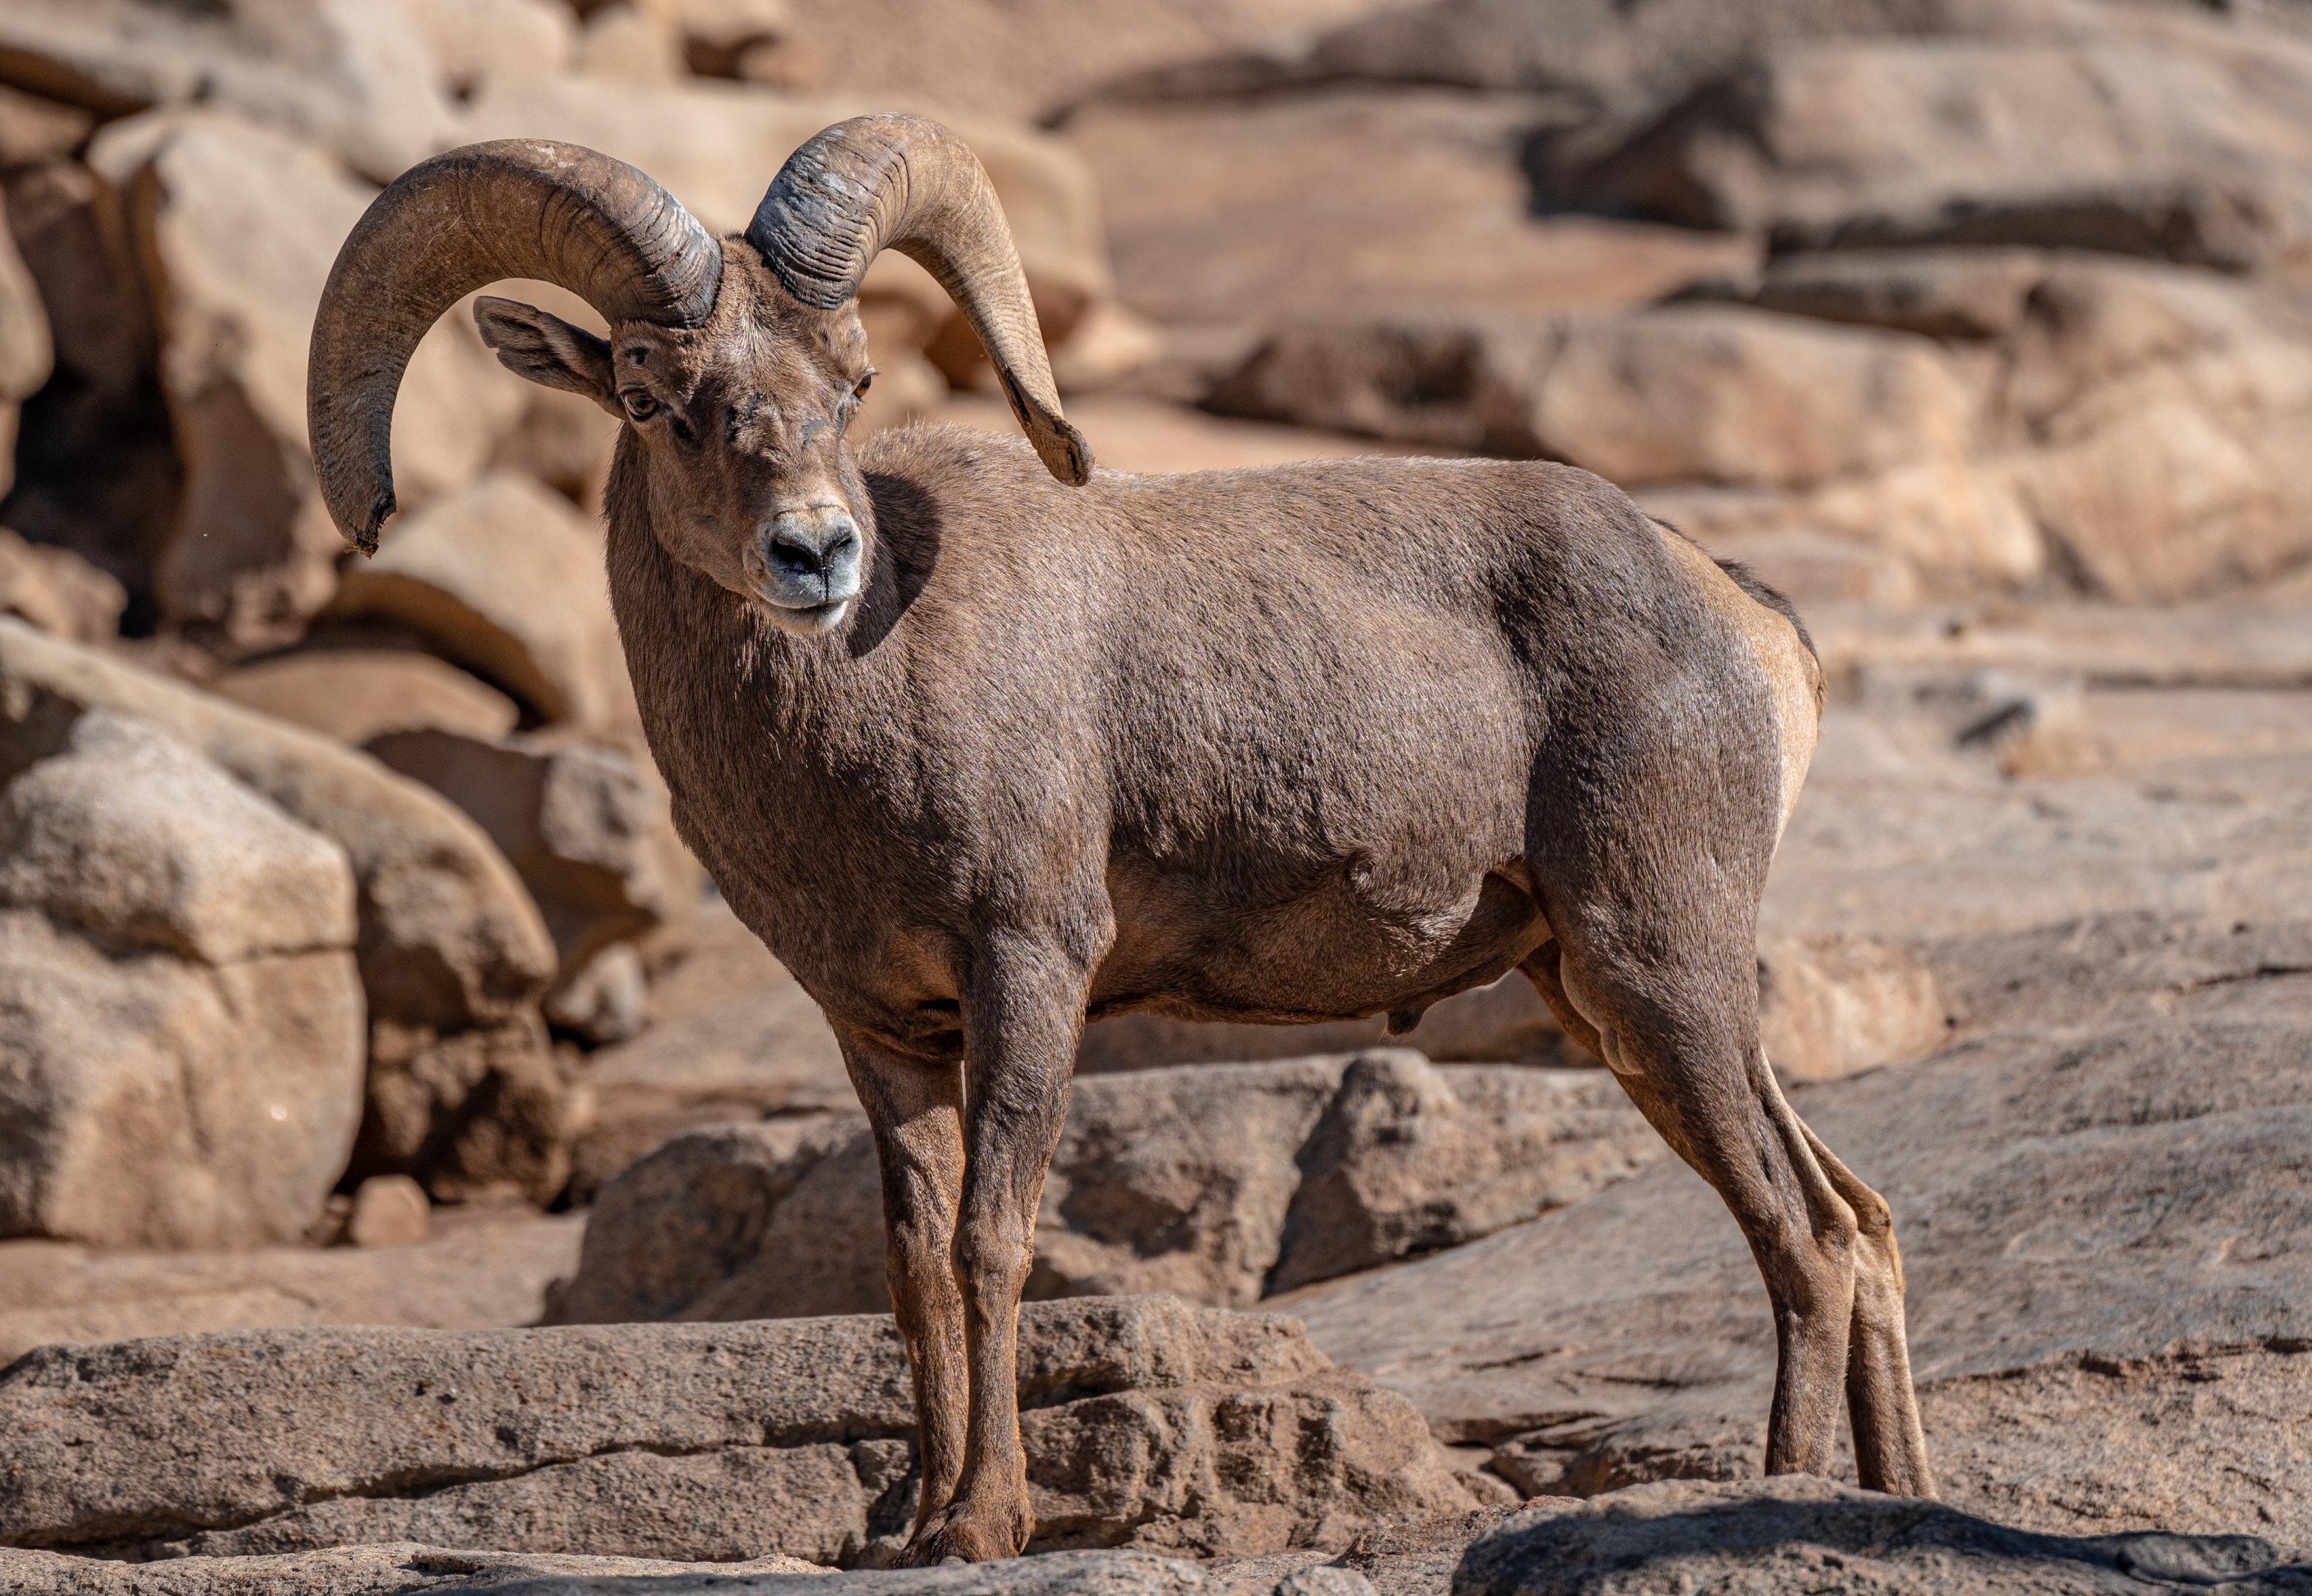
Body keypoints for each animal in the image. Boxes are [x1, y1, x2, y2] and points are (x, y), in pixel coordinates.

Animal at [307, 115, 1935, 1563]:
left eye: (851, 381)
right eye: (652, 399)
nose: (815, 554)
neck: (869, 698)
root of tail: (1743, 620)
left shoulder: (1030, 968)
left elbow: (992, 1240)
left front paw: (984, 1527)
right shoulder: (879, 1030)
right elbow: (912, 1262)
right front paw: (909, 1528)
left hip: (1658, 969)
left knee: (1801, 1234)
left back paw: (1781, 1497)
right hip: (1605, 999)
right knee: (1856, 1220)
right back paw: (1891, 1497)